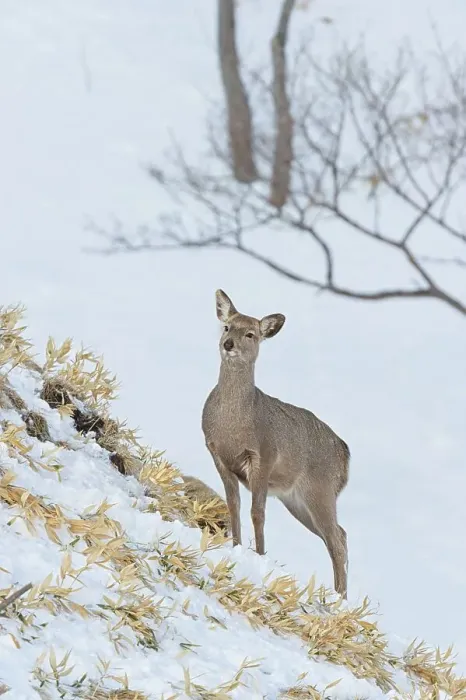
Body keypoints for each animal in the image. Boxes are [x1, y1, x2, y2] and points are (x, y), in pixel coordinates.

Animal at [201, 290, 350, 598]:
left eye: (251, 334)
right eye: (226, 326)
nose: (228, 344)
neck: (233, 427)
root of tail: (345, 455)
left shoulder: (264, 456)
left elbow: (257, 512)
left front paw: (259, 556)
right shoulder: (217, 454)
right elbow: (233, 505)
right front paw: (236, 547)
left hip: (320, 489)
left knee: (336, 538)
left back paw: (341, 598)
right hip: (295, 499)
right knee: (339, 534)